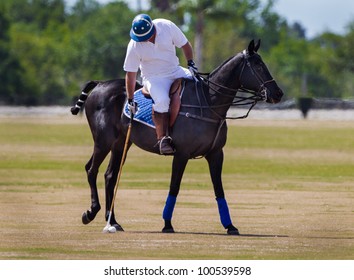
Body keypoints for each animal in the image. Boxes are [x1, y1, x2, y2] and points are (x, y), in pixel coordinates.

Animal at [71, 40, 282, 235]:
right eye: (258, 65)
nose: (278, 93)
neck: (208, 102)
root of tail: (100, 84)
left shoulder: (216, 154)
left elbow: (218, 189)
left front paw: (230, 226)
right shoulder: (181, 154)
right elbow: (174, 187)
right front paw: (167, 224)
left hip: (121, 142)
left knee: (110, 175)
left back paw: (113, 221)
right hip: (103, 140)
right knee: (91, 169)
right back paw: (91, 212)